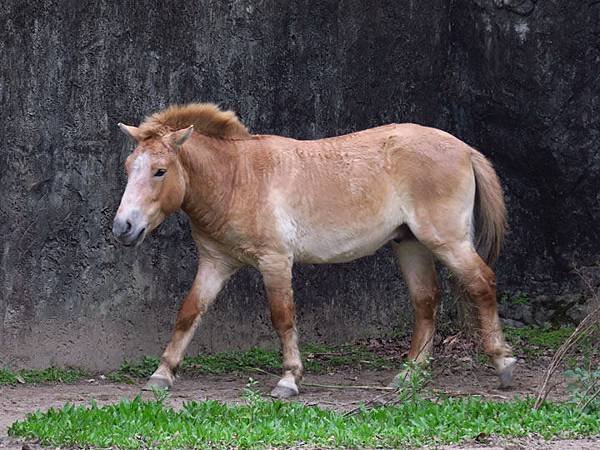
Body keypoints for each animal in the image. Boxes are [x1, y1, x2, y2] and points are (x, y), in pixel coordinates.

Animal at [113, 102, 516, 398]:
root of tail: (464, 148)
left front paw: (289, 380)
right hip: (411, 244)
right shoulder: (215, 263)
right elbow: (189, 312)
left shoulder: (275, 261)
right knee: (426, 300)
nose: (123, 227)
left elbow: (282, 317)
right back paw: (409, 375)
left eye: (160, 171)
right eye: (130, 167)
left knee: (482, 283)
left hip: (447, 241)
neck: (237, 178)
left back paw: (503, 364)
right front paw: (162, 373)